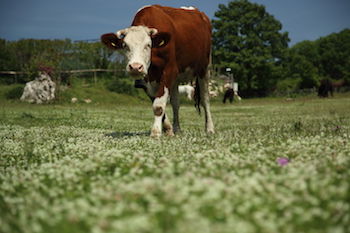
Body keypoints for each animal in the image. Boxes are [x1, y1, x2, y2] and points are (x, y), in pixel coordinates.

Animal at [102, 4, 213, 137]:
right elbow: (158, 104)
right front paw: (168, 129)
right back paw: (177, 129)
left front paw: (156, 132)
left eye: (148, 45)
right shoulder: (145, 82)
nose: (135, 67)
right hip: (176, 80)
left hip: (205, 69)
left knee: (205, 100)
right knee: (176, 103)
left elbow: (159, 105)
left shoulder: (169, 71)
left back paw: (209, 128)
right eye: (124, 45)